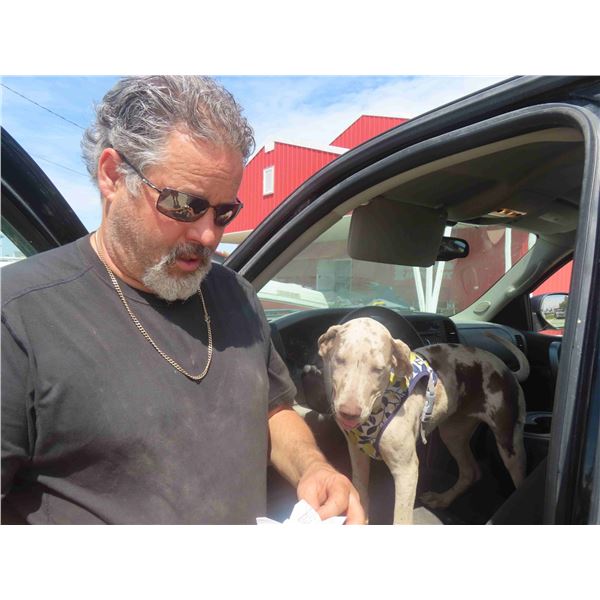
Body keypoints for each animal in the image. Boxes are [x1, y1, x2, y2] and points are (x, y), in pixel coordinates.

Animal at [311, 317, 528, 524]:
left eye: (379, 369)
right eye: (339, 360)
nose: (349, 413)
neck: (378, 408)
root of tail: (505, 368)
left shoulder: (406, 471)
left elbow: (401, 520)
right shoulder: (358, 455)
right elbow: (360, 492)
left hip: (509, 443)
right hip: (453, 434)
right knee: (470, 472)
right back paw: (443, 499)